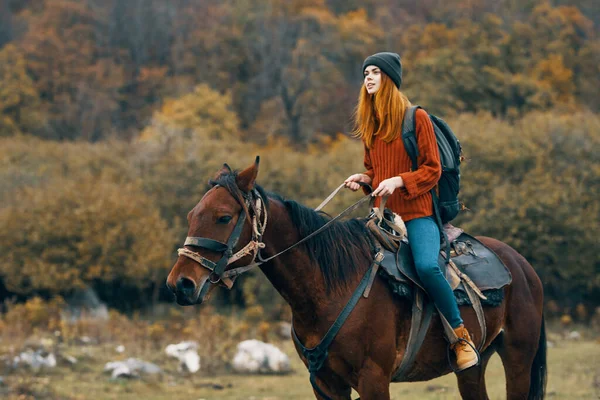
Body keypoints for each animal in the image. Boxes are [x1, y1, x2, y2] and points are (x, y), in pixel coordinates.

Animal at [166, 159, 548, 400]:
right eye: (192, 214)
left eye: (223, 217)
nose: (180, 284)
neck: (329, 289)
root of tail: (522, 267)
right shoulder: (325, 385)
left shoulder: (374, 381)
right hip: (472, 370)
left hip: (518, 361)